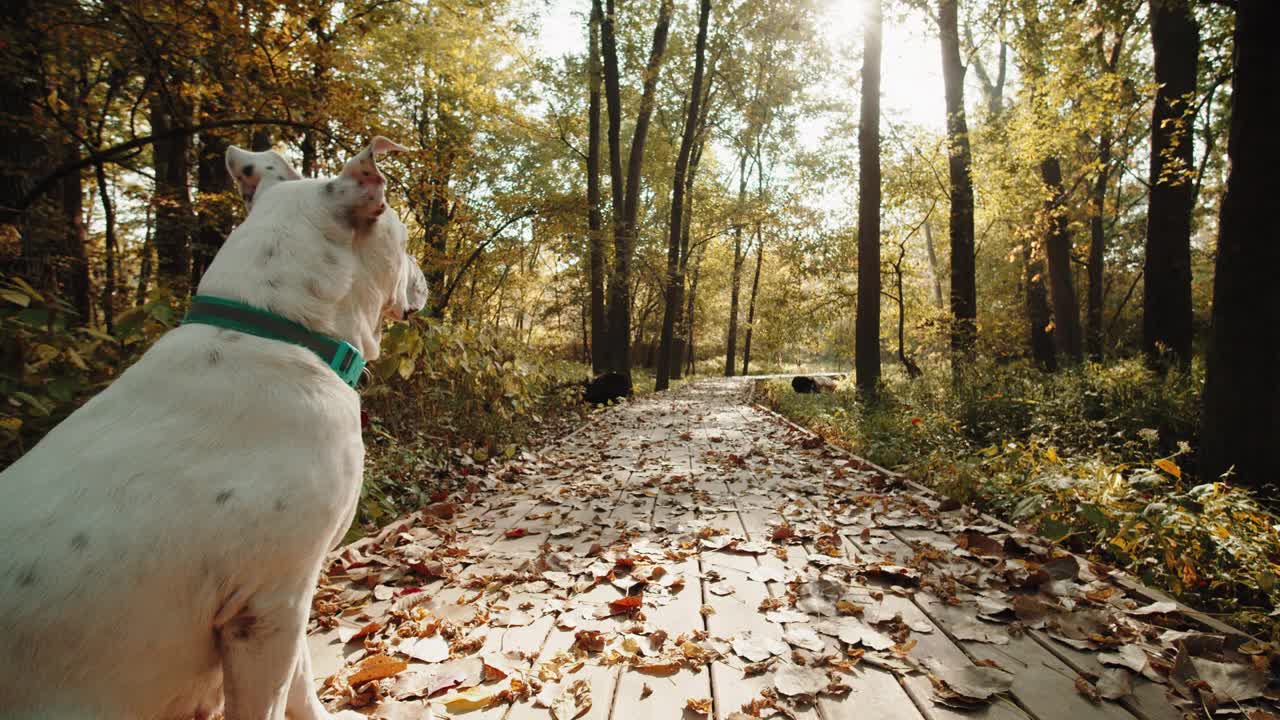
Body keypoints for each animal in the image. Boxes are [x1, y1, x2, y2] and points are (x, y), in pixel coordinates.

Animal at [0, 137, 424, 712]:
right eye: (402, 238)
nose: (422, 274)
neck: (275, 329)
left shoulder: (286, 600)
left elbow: (300, 681)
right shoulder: (268, 607)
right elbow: (276, 696)